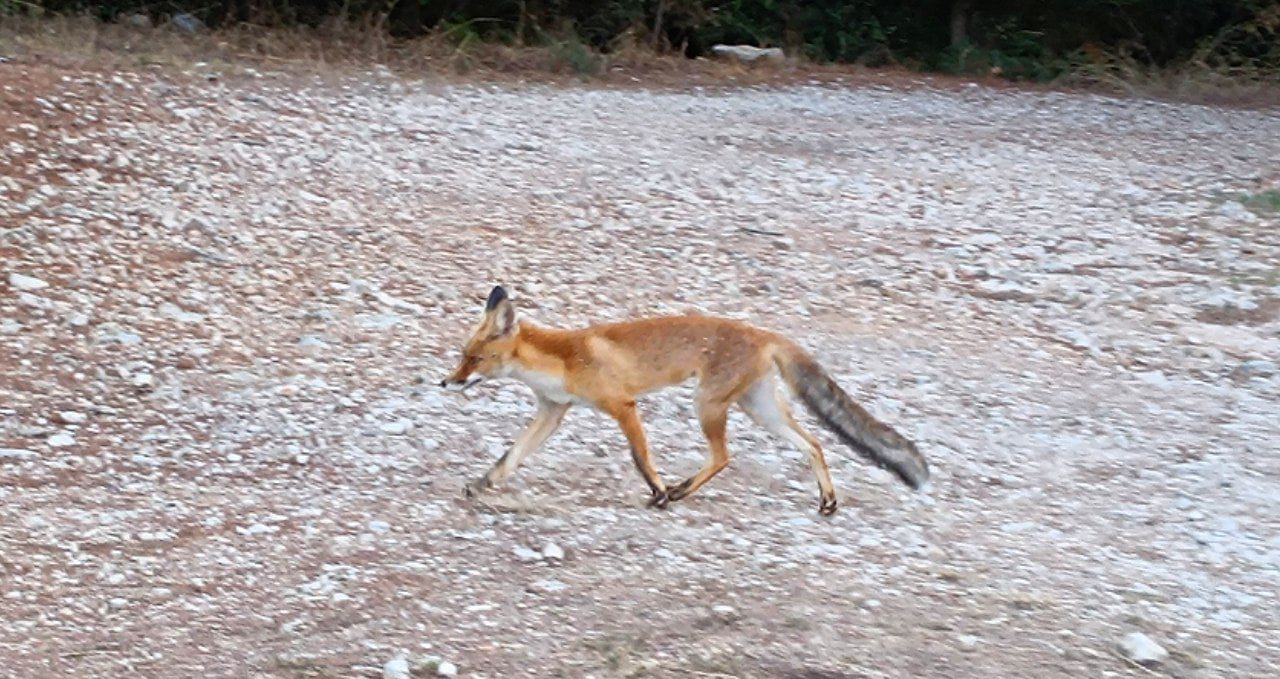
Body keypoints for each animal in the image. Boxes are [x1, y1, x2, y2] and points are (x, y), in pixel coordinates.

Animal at [440, 285, 931, 512]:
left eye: (474, 358)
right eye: (461, 355)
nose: (446, 383)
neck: (561, 360)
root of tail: (765, 333)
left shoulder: (623, 405)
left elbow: (641, 458)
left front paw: (657, 491)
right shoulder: (552, 412)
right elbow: (511, 456)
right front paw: (482, 484)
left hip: (708, 405)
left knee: (723, 457)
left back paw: (676, 492)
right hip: (758, 408)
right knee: (813, 443)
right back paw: (827, 501)